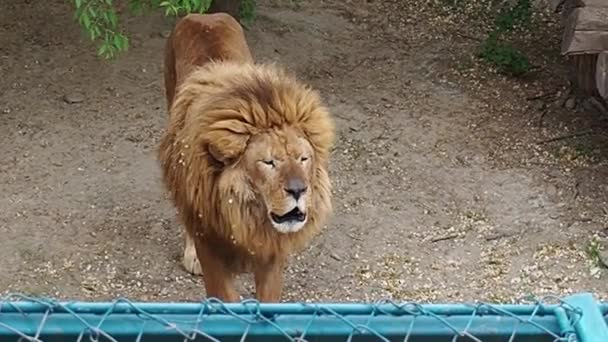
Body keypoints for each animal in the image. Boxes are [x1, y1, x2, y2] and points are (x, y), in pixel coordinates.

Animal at [157, 13, 334, 302]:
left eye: (303, 159)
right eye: (269, 162)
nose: (299, 190)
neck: (245, 215)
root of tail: (203, 16)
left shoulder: (271, 252)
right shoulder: (211, 249)